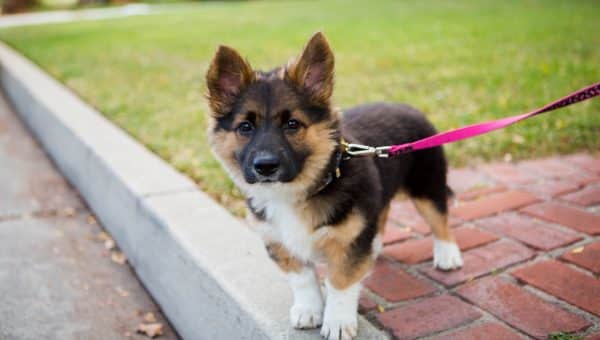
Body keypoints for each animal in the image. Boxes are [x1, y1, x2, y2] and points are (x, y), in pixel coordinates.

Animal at [206, 32, 464, 340]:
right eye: (245, 127)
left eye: (292, 124)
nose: (265, 167)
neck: (296, 192)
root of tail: (407, 106)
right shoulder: (279, 241)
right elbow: (302, 279)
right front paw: (308, 310)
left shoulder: (349, 243)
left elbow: (341, 282)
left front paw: (338, 321)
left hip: (427, 185)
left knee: (440, 219)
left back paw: (448, 255)